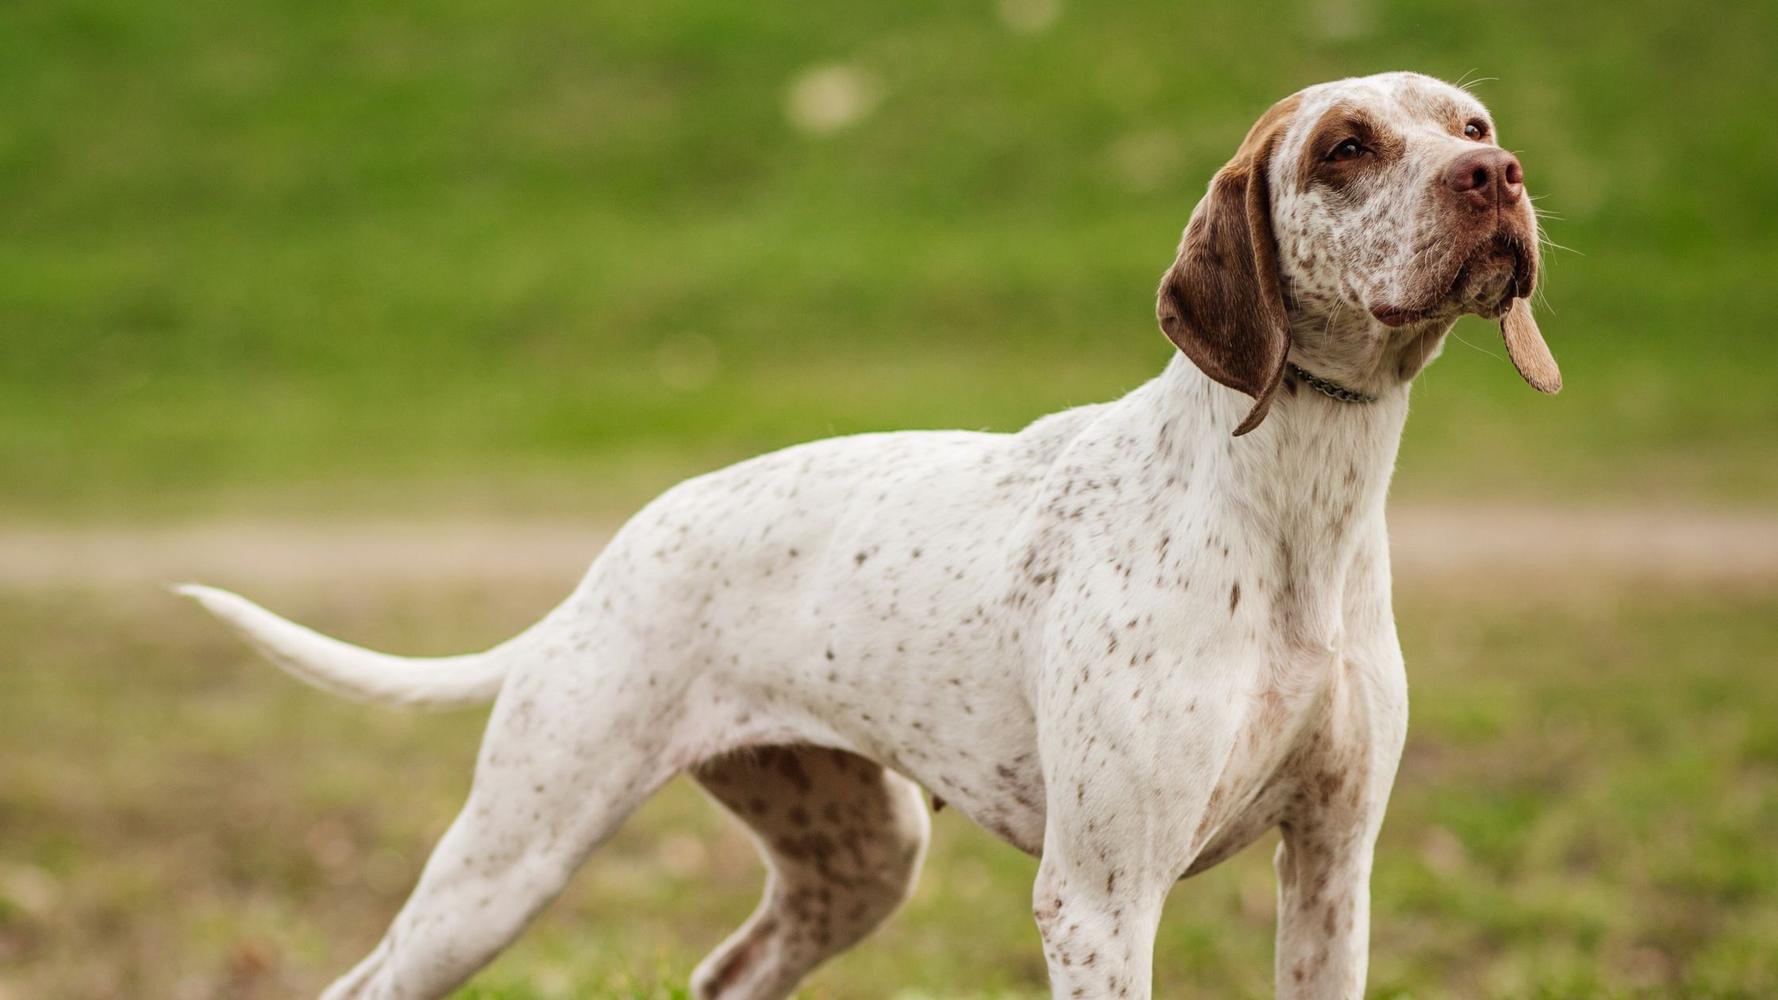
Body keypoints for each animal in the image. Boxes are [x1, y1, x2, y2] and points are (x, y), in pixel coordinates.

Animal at [184, 72, 1557, 996]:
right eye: (1344, 148)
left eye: (1471, 128)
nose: (1495, 179)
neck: (1292, 513)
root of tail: (611, 560)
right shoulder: (1099, 897)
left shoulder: (1330, 870)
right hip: (505, 861)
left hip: (857, 856)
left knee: (730, 971)